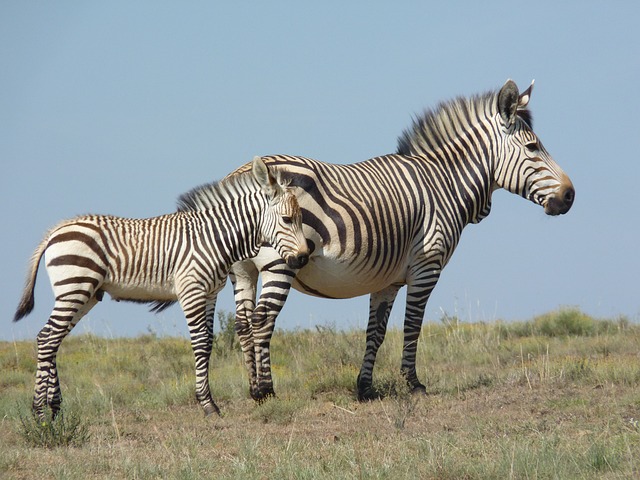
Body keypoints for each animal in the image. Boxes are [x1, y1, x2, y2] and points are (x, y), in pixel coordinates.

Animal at [12, 158, 308, 420]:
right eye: (287, 219)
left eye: (299, 219)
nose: (304, 258)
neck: (214, 238)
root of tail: (56, 231)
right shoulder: (191, 290)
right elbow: (201, 342)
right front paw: (208, 405)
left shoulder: (210, 294)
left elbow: (209, 342)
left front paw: (209, 402)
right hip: (74, 288)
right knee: (47, 338)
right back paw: (39, 413)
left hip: (84, 294)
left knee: (51, 338)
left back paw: (54, 409)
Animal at [230, 79, 576, 402]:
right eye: (532, 147)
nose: (569, 195)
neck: (444, 184)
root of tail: (241, 173)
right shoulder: (426, 266)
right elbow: (412, 326)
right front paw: (414, 384)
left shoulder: (388, 279)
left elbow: (376, 332)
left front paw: (365, 387)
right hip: (279, 262)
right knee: (262, 321)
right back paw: (266, 392)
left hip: (242, 270)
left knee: (244, 324)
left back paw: (252, 389)